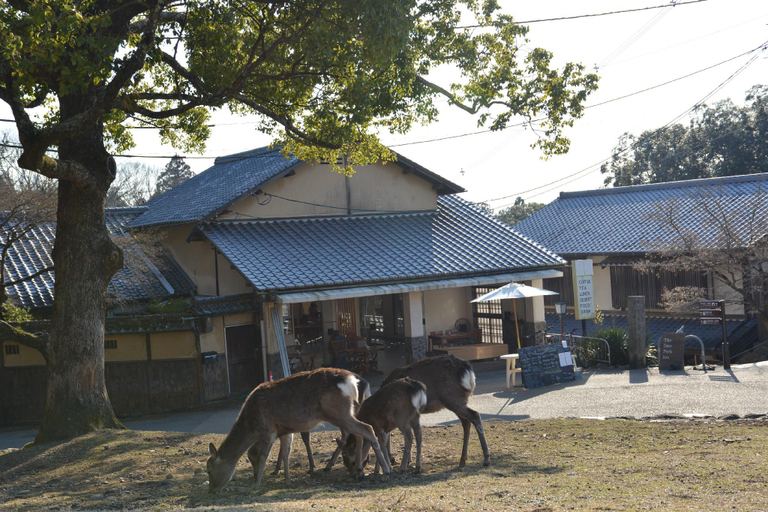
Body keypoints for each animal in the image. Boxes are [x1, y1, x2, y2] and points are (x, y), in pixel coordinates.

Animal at [206, 368, 391, 493]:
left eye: (209, 469)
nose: (212, 491)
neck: (251, 425)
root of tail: (351, 381)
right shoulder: (285, 431)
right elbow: (285, 453)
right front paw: (287, 481)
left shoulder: (267, 430)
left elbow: (264, 456)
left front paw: (256, 485)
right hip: (346, 412)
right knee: (359, 433)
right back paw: (360, 470)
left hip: (338, 412)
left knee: (367, 429)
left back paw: (385, 469)